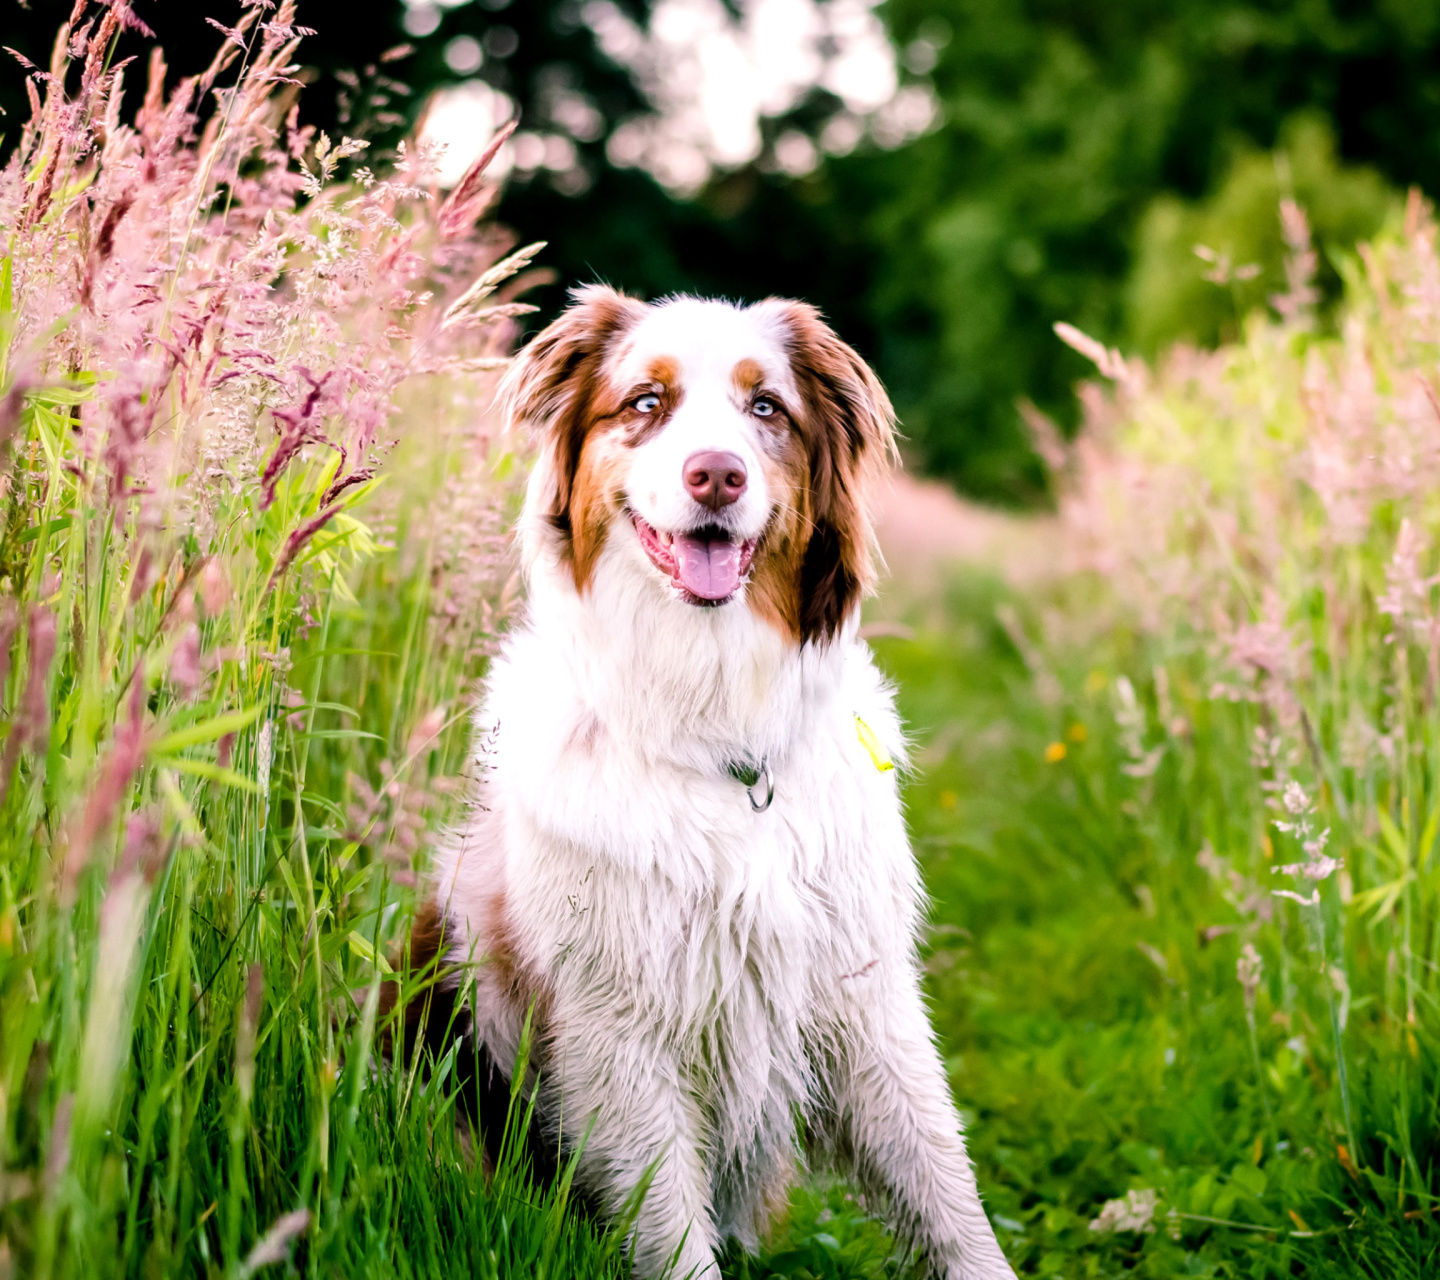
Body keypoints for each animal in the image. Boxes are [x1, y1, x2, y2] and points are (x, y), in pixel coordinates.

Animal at [400, 289, 1019, 1278]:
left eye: (766, 407)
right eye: (645, 403)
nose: (717, 476)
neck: (719, 730)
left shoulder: (865, 991)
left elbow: (945, 1188)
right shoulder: (618, 1036)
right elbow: (674, 1231)